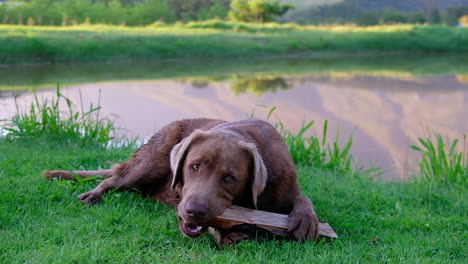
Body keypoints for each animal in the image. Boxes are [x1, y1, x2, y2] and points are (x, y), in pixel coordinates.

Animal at [43, 118, 318, 244]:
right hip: (150, 162)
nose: (193, 211)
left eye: (230, 178)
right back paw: (93, 194)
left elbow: (303, 198)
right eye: (194, 166)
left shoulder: (287, 184)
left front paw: (305, 218)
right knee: (114, 178)